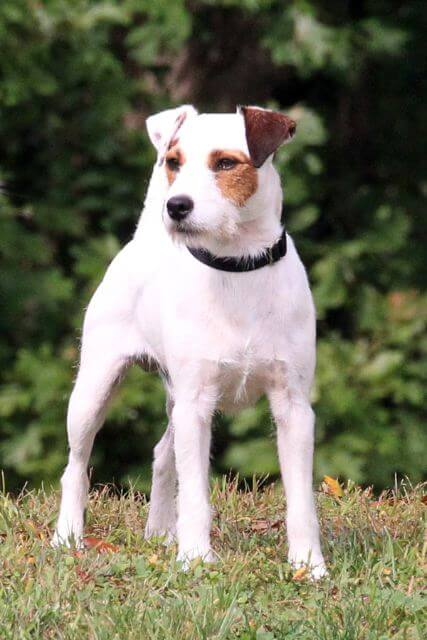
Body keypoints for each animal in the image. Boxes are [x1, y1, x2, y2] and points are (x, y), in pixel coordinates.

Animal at [53, 106, 328, 580]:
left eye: (226, 163)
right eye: (174, 162)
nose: (176, 205)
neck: (237, 266)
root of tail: (143, 238)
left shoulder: (292, 406)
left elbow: (301, 501)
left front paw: (309, 566)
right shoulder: (197, 403)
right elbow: (197, 494)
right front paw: (196, 559)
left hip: (173, 399)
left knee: (164, 453)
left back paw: (160, 533)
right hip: (95, 387)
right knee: (77, 465)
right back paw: (68, 536)